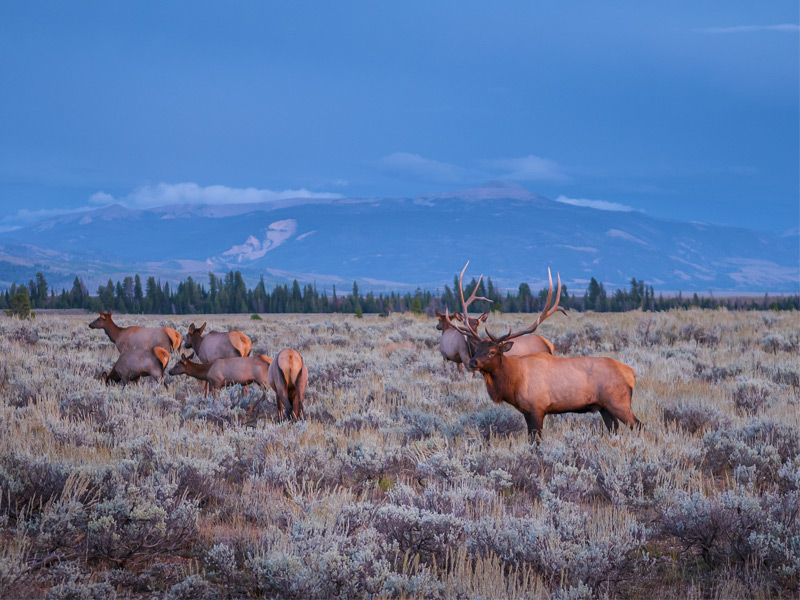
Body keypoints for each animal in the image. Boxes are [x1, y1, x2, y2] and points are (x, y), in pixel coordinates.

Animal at [446, 262, 640, 440]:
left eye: (493, 351)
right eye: (477, 349)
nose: (473, 362)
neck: (514, 380)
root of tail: (631, 373)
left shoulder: (537, 408)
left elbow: (536, 442)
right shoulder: (526, 412)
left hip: (619, 402)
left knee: (639, 426)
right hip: (605, 408)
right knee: (615, 430)